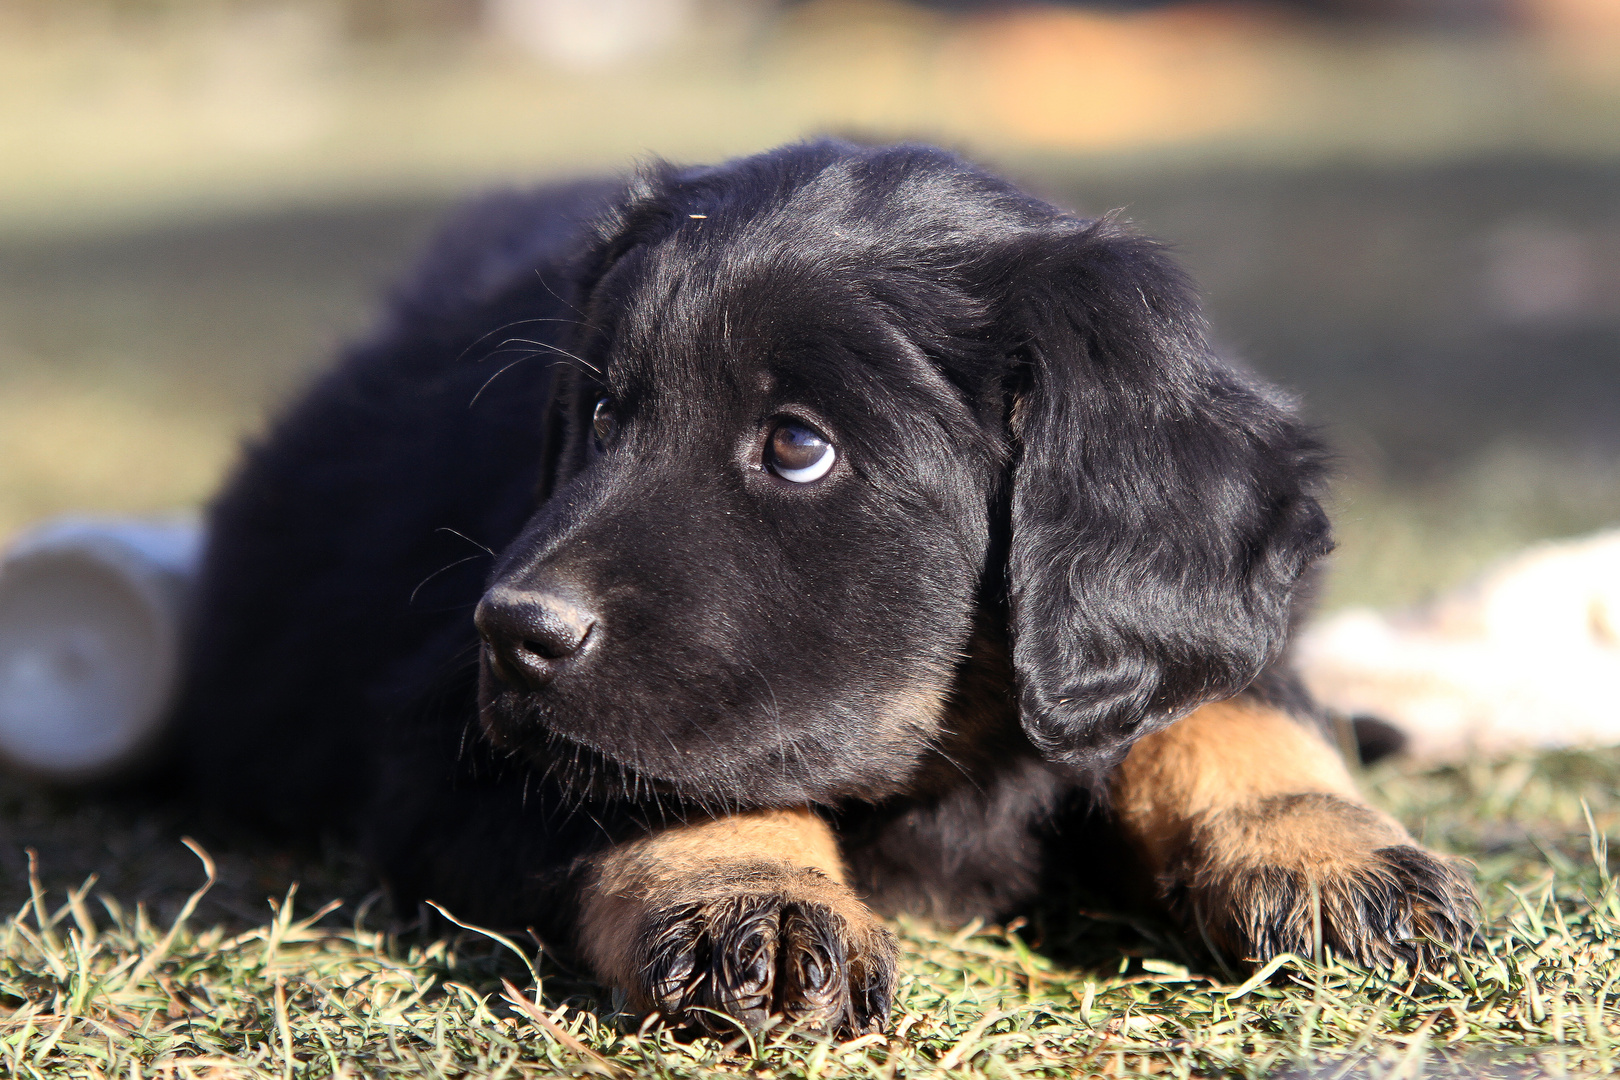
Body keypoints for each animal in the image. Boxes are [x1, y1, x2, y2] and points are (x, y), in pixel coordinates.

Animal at [174, 139, 1483, 1036]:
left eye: (799, 446)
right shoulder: (448, 737)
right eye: (598, 416)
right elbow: (658, 777)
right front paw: (753, 894)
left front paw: (1326, 852)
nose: (511, 631)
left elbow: (1225, 701)